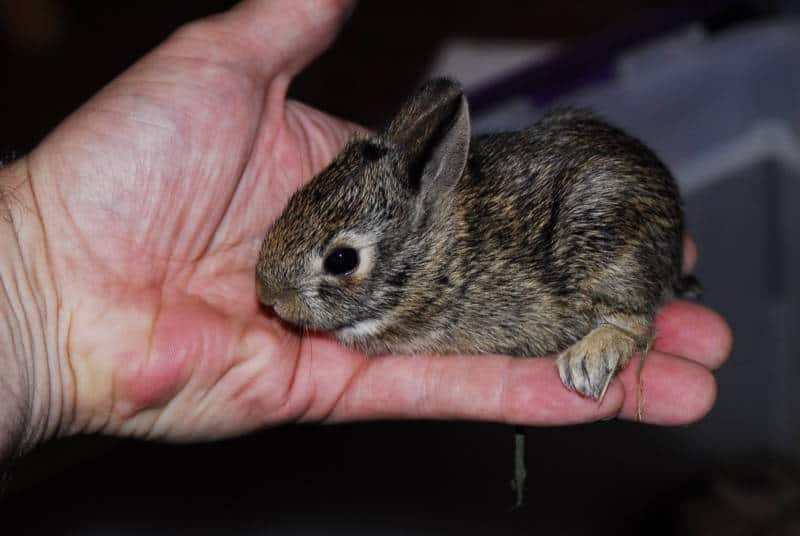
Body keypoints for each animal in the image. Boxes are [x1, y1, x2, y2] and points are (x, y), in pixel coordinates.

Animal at [256, 77, 698, 401]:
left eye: (342, 260)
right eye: (295, 198)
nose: (267, 295)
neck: (442, 256)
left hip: (608, 247)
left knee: (636, 323)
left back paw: (586, 363)